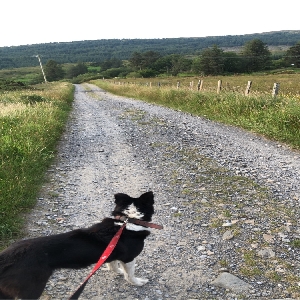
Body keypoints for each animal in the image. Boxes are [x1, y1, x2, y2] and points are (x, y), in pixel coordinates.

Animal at [0, 191, 156, 298]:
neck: (127, 221)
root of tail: (6, 258)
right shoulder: (129, 258)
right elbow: (130, 275)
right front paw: (138, 282)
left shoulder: (112, 253)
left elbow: (112, 264)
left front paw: (117, 271)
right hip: (31, 289)